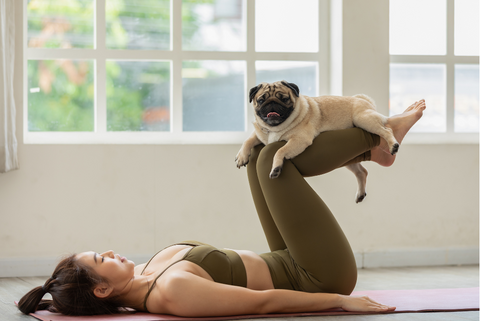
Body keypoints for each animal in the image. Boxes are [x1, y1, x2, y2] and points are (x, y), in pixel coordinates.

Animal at [235, 80, 398, 202]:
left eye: (284, 99)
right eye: (261, 100)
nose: (272, 103)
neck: (275, 128)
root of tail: (362, 99)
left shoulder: (300, 139)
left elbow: (280, 150)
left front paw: (276, 167)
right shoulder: (260, 133)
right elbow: (248, 140)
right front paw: (241, 156)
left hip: (363, 120)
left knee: (387, 131)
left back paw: (393, 146)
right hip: (348, 157)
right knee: (361, 172)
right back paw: (360, 194)